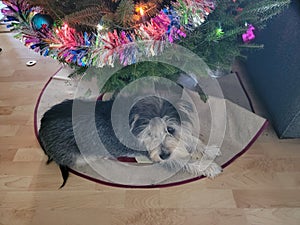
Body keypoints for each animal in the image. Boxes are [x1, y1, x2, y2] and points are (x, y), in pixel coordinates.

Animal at [38, 96, 221, 187]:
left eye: (169, 129)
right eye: (149, 133)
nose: (163, 155)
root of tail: (41, 127)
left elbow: (191, 138)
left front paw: (208, 149)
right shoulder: (155, 156)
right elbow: (185, 160)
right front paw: (210, 167)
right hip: (79, 156)